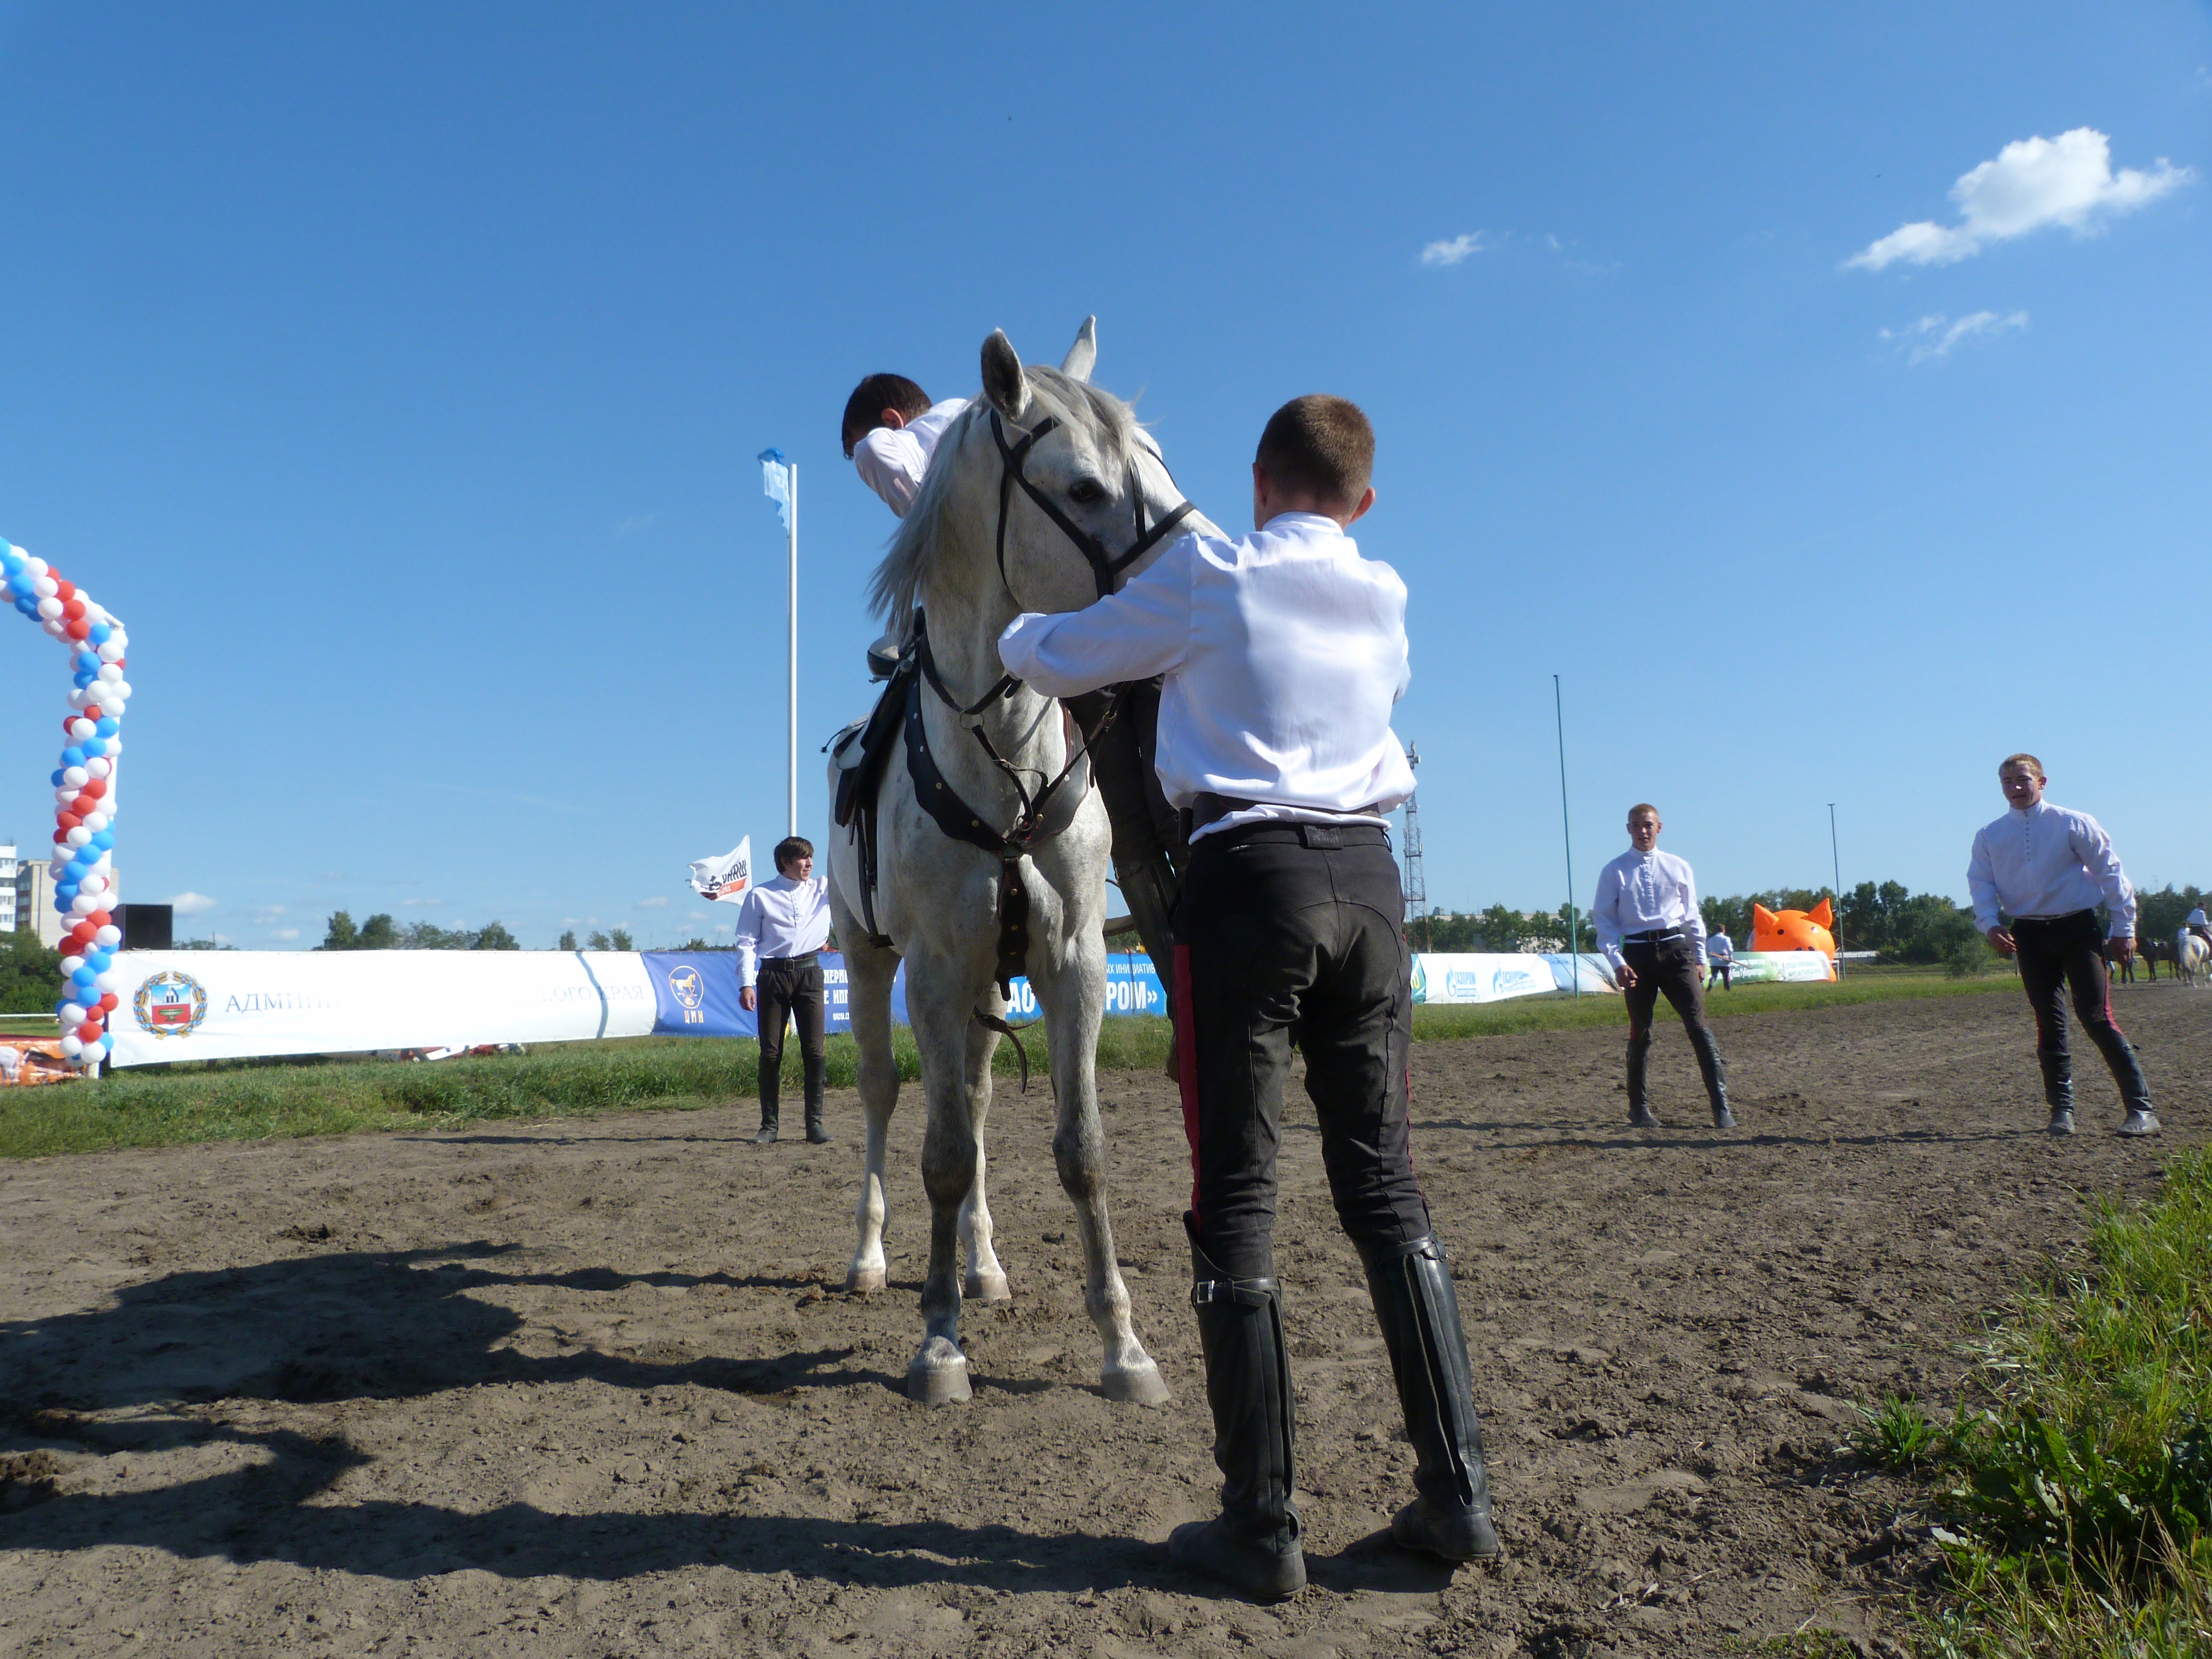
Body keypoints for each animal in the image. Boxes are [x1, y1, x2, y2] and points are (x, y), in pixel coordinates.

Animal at [826, 319, 1212, 1407]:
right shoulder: (932, 967)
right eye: (1082, 488)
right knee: (885, 1096)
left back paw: (986, 1266)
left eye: (1162, 462)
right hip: (869, 963)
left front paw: (1124, 1346)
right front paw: (938, 1341)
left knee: (981, 1097)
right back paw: (873, 1259)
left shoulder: (1071, 957)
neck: (1001, 759)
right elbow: (943, 1156)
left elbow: (1079, 1150)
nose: (1216, 572)